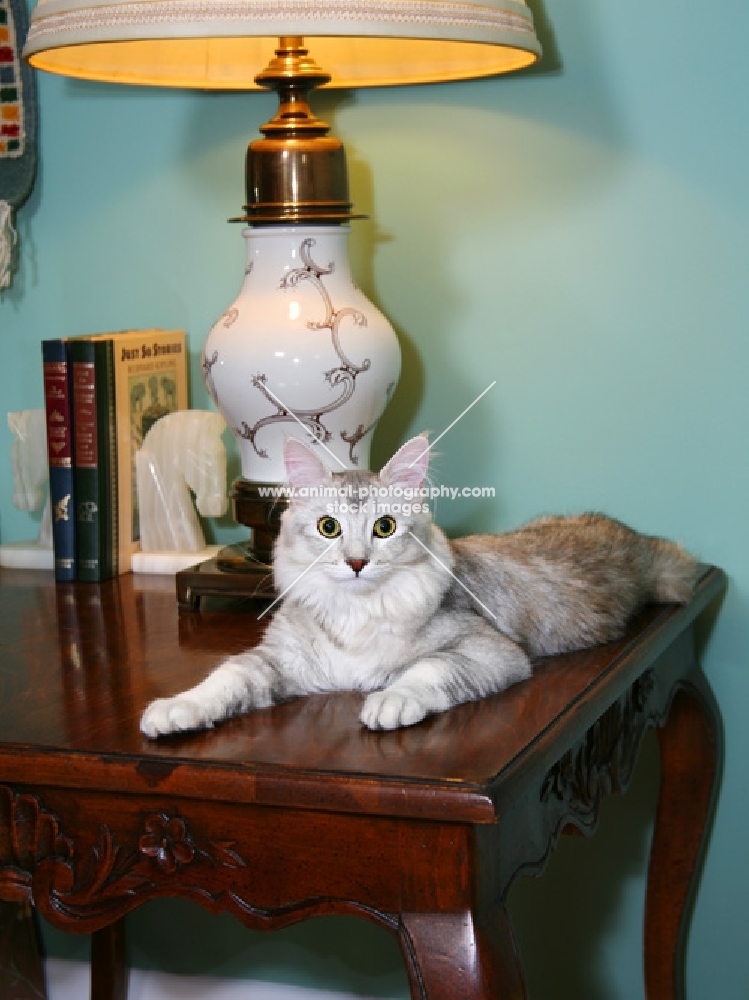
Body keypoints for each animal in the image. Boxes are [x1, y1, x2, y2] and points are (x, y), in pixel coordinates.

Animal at [140, 436, 696, 736]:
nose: (357, 562)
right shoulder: (279, 659)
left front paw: (389, 702)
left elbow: (427, 670)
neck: (357, 615)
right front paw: (174, 710)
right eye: (328, 527)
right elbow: (225, 678)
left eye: (384, 527)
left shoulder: (491, 650)